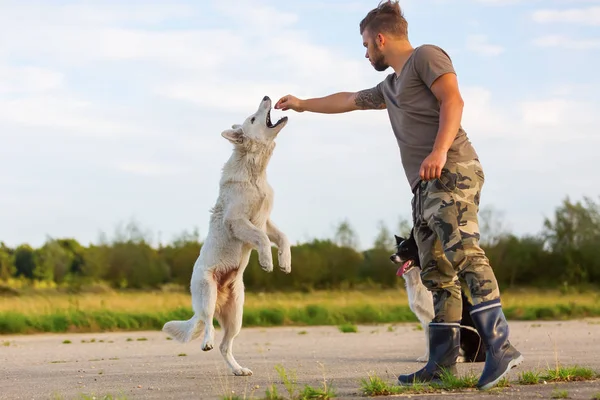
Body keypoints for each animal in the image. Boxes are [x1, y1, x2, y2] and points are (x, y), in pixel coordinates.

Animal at [163, 95, 292, 376]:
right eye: (253, 118)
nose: (267, 97)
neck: (255, 172)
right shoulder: (238, 221)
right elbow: (262, 239)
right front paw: (266, 262)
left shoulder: (265, 221)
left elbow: (283, 238)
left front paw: (285, 263)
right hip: (208, 294)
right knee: (209, 325)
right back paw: (207, 343)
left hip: (236, 316)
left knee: (225, 346)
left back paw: (238, 369)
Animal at [392, 230, 486, 364]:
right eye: (398, 249)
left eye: (406, 249)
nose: (392, 257)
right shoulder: (425, 319)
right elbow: (428, 341)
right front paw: (426, 358)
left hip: (464, 330)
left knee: (474, 356)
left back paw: (459, 358)